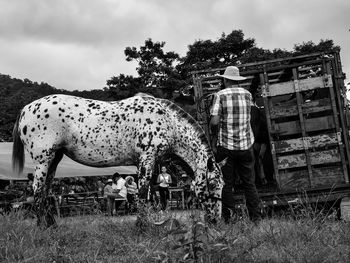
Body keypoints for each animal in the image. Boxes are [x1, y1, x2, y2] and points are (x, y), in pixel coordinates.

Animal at [12, 94, 224, 228]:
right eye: (213, 184)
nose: (217, 220)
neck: (167, 122)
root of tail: (25, 109)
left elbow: (147, 193)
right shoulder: (147, 159)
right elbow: (142, 192)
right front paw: (141, 226)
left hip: (54, 159)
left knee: (46, 190)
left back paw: (52, 225)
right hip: (43, 160)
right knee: (38, 190)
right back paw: (42, 227)